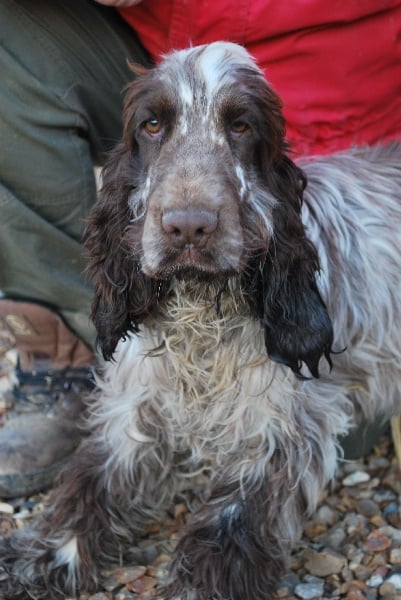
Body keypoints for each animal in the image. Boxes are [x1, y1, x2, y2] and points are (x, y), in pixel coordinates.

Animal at [0, 41, 400, 600]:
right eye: (151, 125)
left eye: (241, 126)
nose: (188, 227)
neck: (202, 310)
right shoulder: (131, 411)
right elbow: (84, 490)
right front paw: (36, 561)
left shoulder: (280, 433)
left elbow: (226, 534)